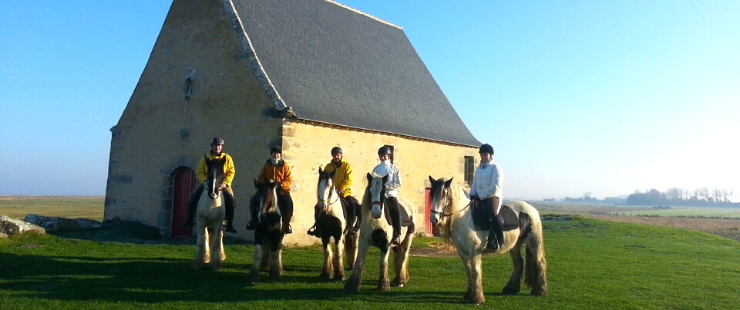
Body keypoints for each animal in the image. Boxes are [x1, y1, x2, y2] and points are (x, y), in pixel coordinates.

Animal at [428, 176, 544, 304]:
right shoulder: (462, 252)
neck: (464, 217)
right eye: (432, 194)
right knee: (518, 263)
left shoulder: (474, 251)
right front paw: (468, 295)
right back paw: (511, 288)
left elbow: (475, 271)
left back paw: (540, 291)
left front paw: (477, 298)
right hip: (515, 244)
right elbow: (469, 271)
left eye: (445, 195)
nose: (434, 219)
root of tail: (532, 209)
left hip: (534, 241)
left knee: (539, 261)